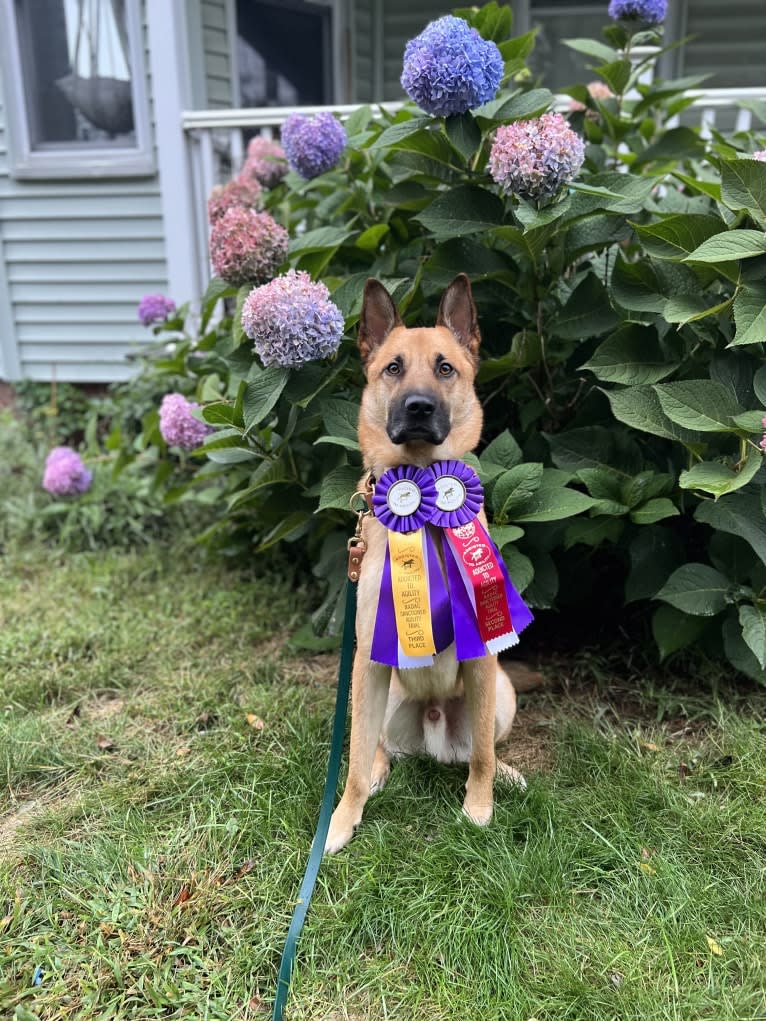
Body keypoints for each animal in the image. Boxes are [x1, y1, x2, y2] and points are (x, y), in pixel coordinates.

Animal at [324, 273, 527, 853]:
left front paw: (479, 807)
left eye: (445, 368)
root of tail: (434, 728)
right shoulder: (367, 660)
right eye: (393, 368)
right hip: (378, 690)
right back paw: (376, 772)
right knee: (372, 747)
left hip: (499, 693)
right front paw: (342, 819)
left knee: (481, 749)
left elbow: (481, 755)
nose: (417, 407)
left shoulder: (483, 660)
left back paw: (504, 775)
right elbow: (349, 763)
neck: (423, 490)